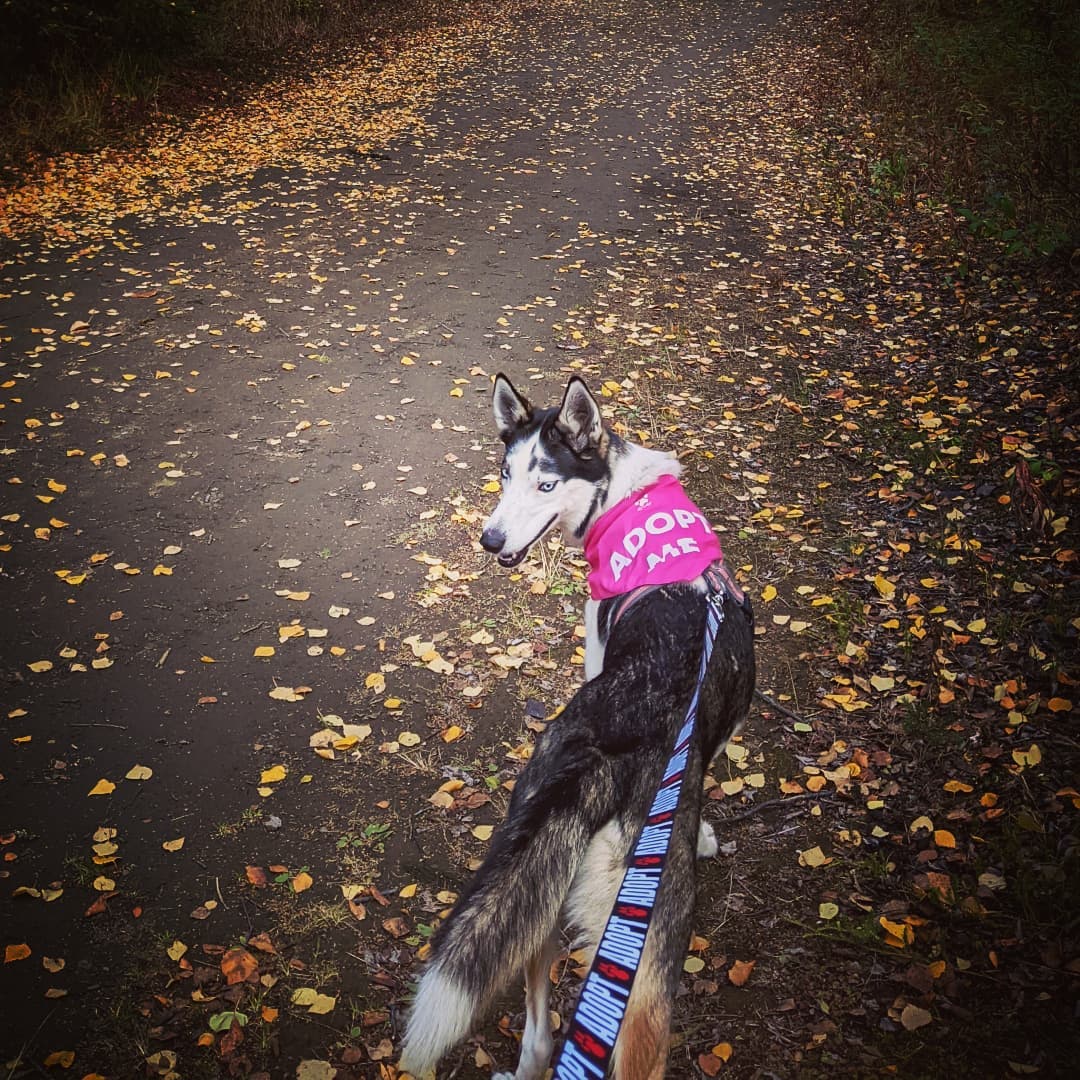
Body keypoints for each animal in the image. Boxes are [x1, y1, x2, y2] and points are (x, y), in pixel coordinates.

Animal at [401, 375, 756, 1075]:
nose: (489, 540)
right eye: (504, 475)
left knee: (539, 1032)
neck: (621, 495)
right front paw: (705, 833)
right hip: (645, 959)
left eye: (543, 484)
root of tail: (602, 758)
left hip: (536, 887)